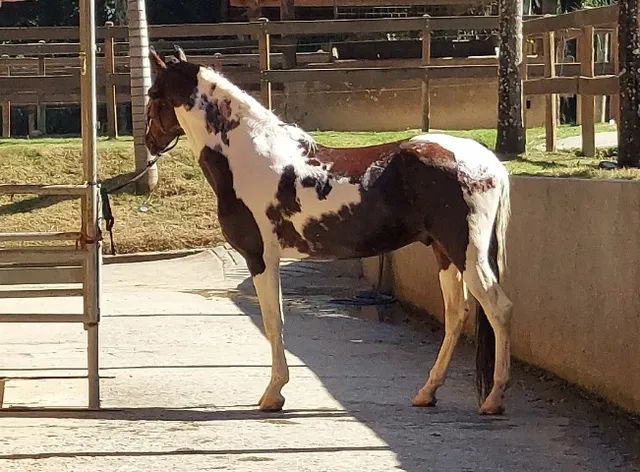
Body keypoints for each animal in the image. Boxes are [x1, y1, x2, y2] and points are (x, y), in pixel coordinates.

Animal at [146, 46, 516, 414]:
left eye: (152, 94)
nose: (150, 141)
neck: (248, 159)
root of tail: (488, 162)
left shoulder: (260, 257)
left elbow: (272, 321)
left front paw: (273, 394)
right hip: (445, 253)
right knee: (456, 314)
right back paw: (427, 392)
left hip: (467, 253)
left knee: (498, 309)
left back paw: (494, 398)